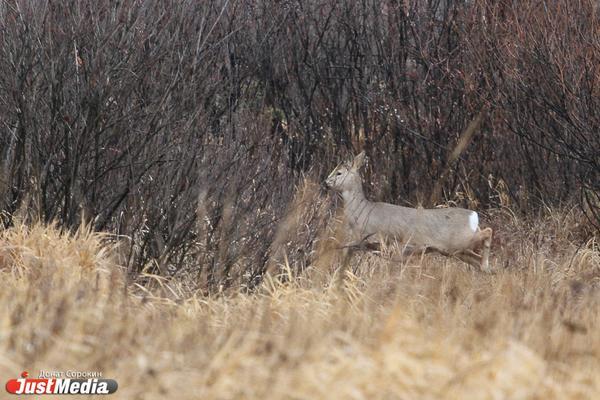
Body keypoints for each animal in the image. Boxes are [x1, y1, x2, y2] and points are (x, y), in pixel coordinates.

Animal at [328, 152, 492, 272]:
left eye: (339, 173)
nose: (326, 181)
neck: (362, 211)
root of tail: (473, 216)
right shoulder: (366, 243)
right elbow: (346, 248)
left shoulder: (379, 238)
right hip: (456, 250)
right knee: (476, 258)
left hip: (459, 241)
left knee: (488, 232)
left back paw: (486, 265)